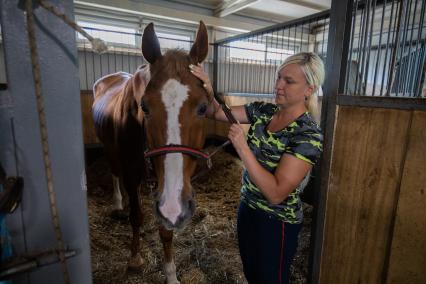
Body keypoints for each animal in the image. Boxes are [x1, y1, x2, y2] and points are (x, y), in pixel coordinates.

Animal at [93, 21, 210, 282]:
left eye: (204, 107)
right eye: (144, 107)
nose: (176, 207)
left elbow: (165, 229)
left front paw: (171, 274)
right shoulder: (132, 170)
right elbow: (136, 216)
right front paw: (135, 257)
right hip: (110, 150)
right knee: (115, 173)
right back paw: (119, 202)